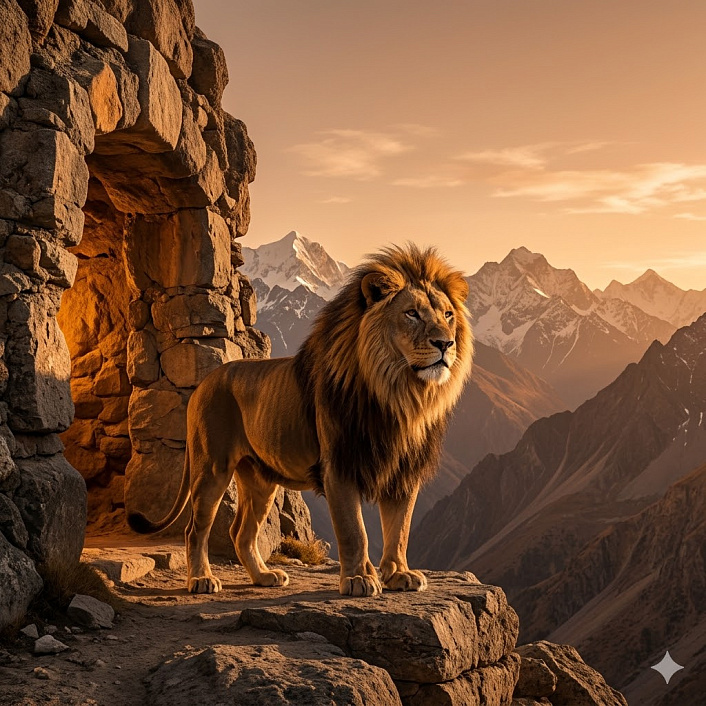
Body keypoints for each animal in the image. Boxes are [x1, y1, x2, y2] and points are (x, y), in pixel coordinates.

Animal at [128, 244, 473, 597]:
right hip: (212, 468)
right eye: (412, 314)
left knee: (241, 532)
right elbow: (354, 531)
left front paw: (399, 574)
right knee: (196, 529)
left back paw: (264, 576)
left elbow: (399, 529)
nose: (445, 343)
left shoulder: (404, 471)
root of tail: (204, 382)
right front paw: (359, 579)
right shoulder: (339, 467)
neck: (398, 395)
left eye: (448, 315)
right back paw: (201, 579)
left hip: (260, 480)